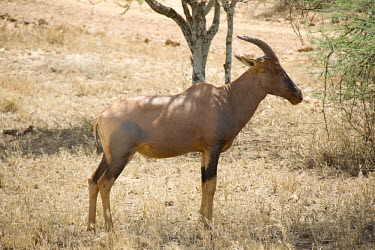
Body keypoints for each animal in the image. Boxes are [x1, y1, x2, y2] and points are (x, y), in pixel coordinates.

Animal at [89, 35, 306, 230]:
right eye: (277, 68)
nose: (298, 94)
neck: (225, 98)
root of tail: (101, 115)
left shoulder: (203, 152)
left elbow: (203, 183)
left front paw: (202, 221)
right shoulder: (213, 148)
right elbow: (211, 184)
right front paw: (208, 226)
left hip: (108, 156)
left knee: (93, 180)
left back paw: (91, 226)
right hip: (121, 156)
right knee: (105, 183)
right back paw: (110, 227)